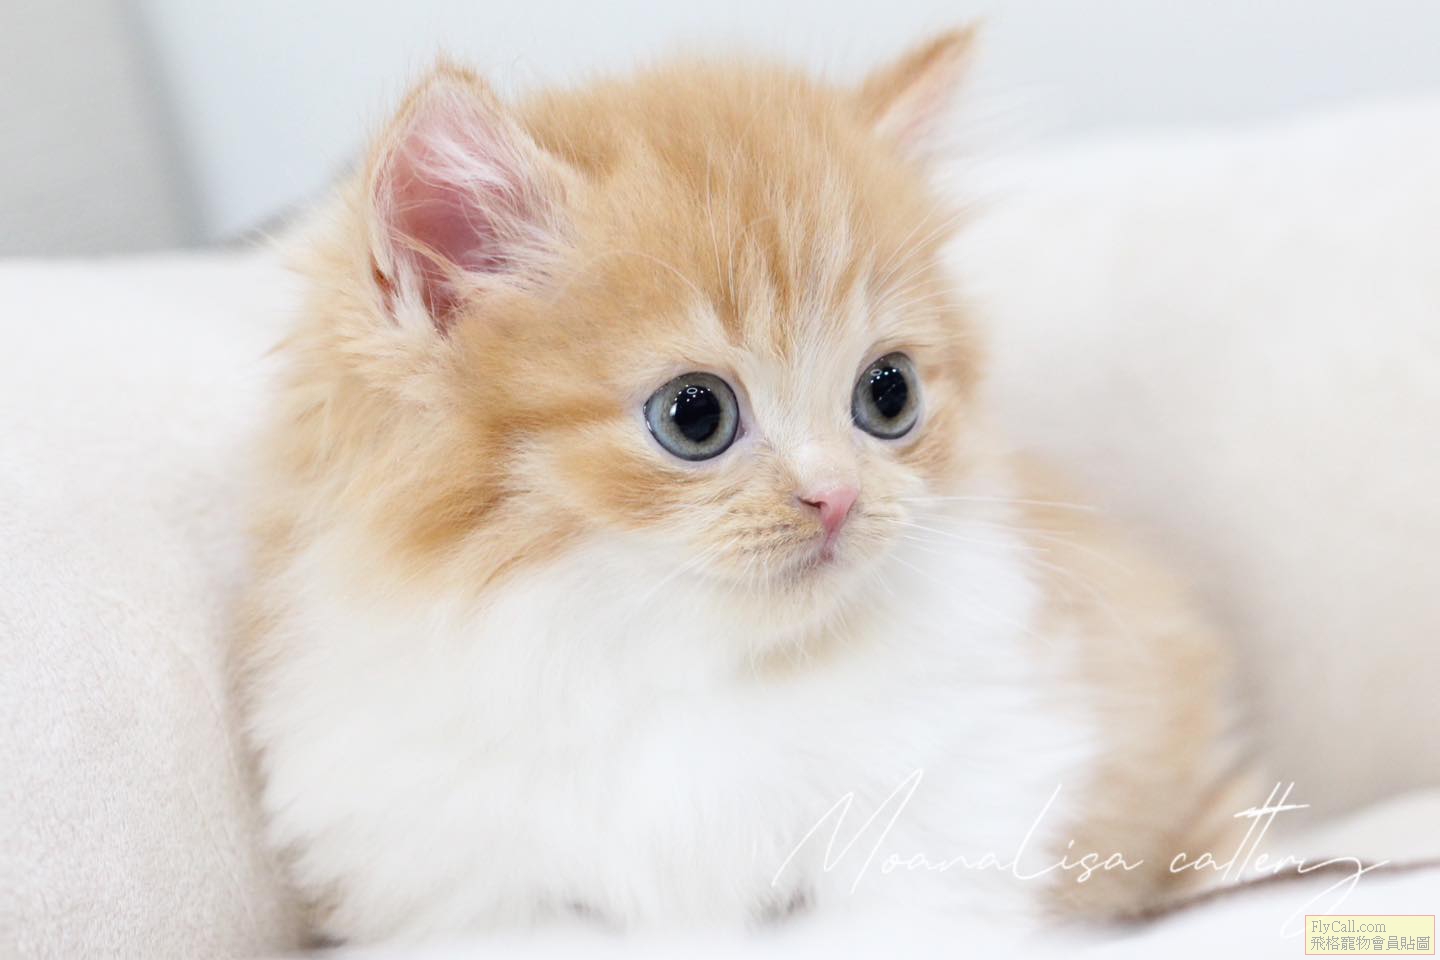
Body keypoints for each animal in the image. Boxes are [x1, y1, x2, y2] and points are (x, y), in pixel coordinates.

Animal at [238, 28, 1252, 945]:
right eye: (696, 416)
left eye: (889, 394)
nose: (837, 496)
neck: (664, 664)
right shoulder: (469, 896)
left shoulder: (962, 806)